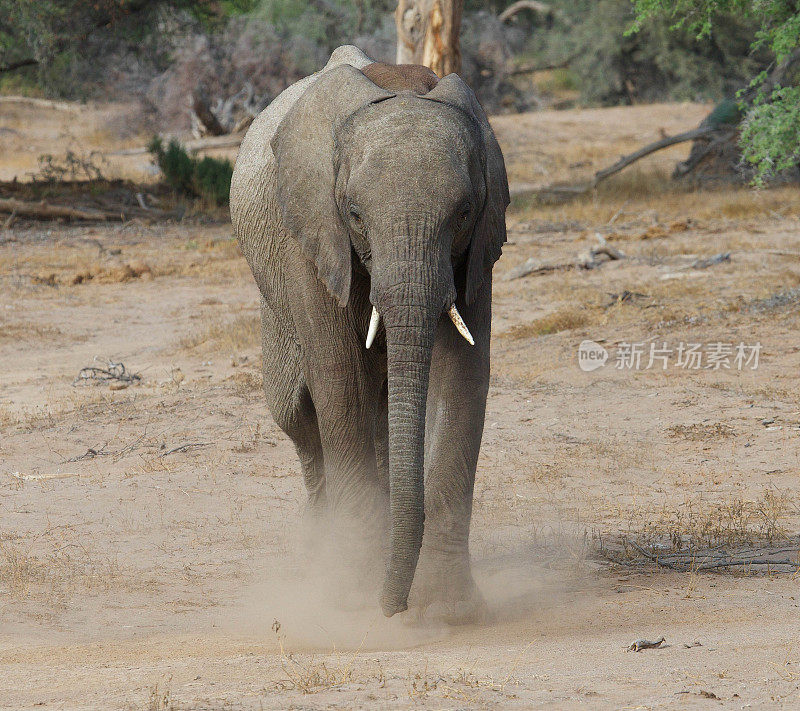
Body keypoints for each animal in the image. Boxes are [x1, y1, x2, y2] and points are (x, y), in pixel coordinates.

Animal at [228, 46, 510, 624]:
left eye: (464, 211)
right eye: (355, 213)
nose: (393, 610)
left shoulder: (477, 253)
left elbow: (464, 378)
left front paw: (450, 608)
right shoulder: (313, 236)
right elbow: (339, 382)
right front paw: (355, 598)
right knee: (298, 417)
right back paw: (320, 559)